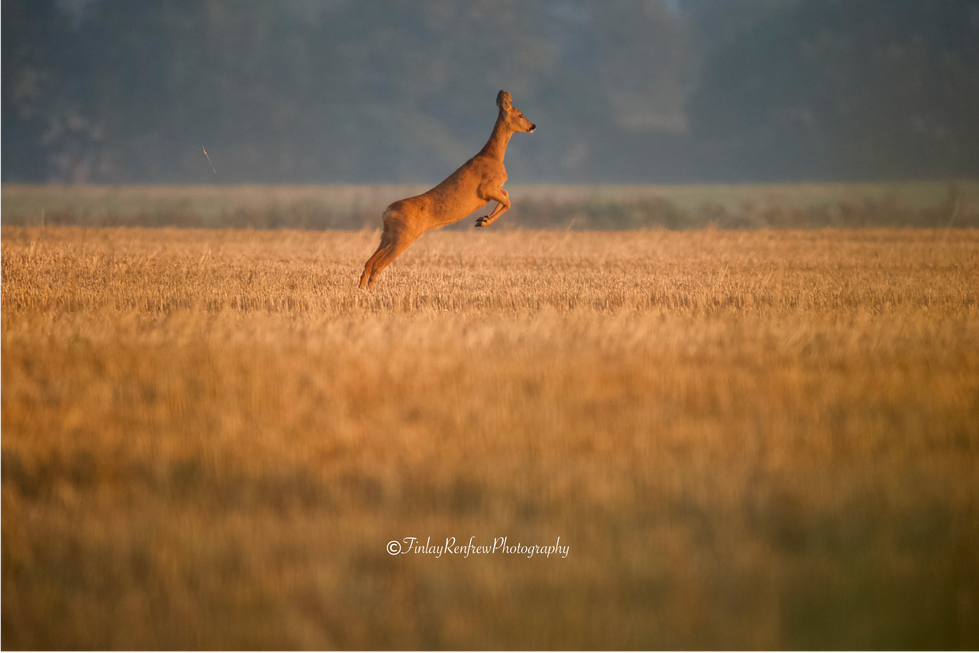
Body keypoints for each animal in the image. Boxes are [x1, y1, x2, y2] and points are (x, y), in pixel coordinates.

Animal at [359, 90, 536, 288]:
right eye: (520, 114)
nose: (533, 125)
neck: (493, 156)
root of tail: (388, 212)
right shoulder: (485, 188)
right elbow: (508, 201)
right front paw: (483, 221)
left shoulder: (494, 189)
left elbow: (506, 195)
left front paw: (482, 218)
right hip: (404, 235)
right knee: (377, 265)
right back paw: (370, 291)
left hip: (387, 234)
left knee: (368, 263)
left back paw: (361, 290)